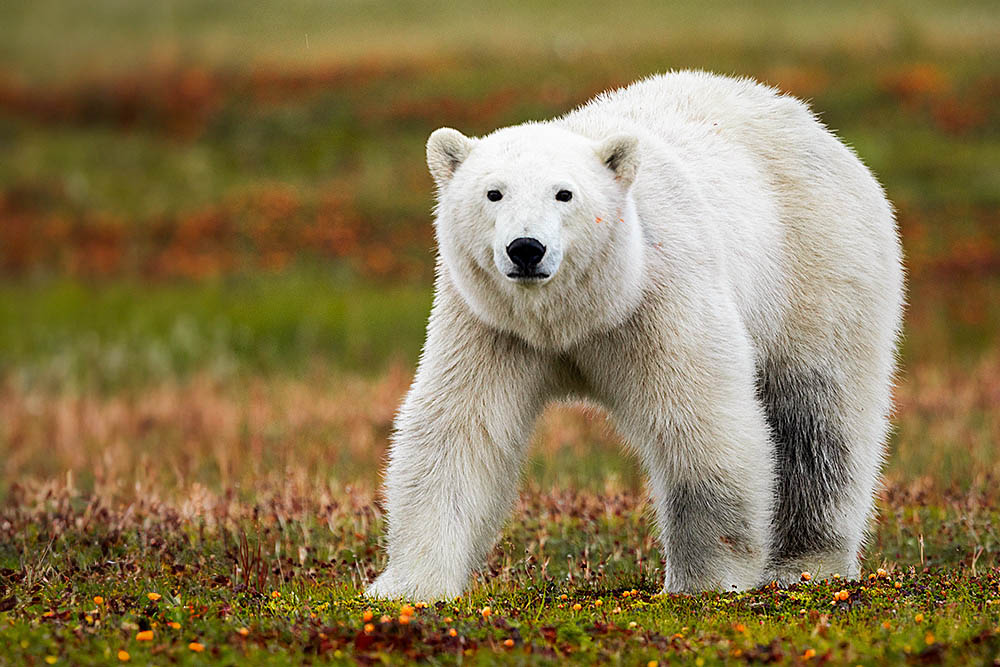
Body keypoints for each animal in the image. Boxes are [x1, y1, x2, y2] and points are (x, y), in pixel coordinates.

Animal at [368, 69, 908, 600]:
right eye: (493, 193)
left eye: (564, 193)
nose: (526, 248)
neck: (577, 316)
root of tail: (815, 126)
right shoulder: (489, 322)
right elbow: (458, 431)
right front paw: (406, 586)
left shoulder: (659, 298)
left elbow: (703, 424)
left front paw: (705, 582)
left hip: (820, 265)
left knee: (819, 419)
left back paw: (806, 563)